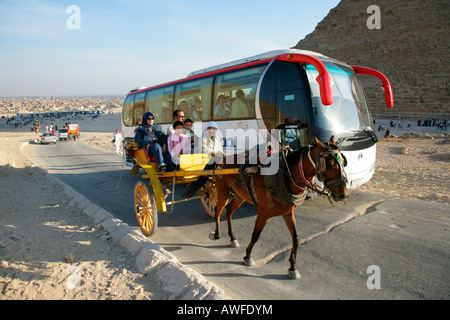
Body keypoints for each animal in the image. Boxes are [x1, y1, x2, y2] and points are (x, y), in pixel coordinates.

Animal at [185, 136, 350, 278]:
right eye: (330, 164)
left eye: (343, 161)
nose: (344, 194)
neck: (284, 174)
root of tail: (222, 158)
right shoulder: (263, 213)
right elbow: (255, 235)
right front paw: (248, 256)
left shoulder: (288, 213)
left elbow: (296, 239)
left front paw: (292, 267)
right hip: (222, 190)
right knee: (218, 211)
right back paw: (217, 234)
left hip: (239, 195)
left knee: (229, 211)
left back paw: (232, 238)